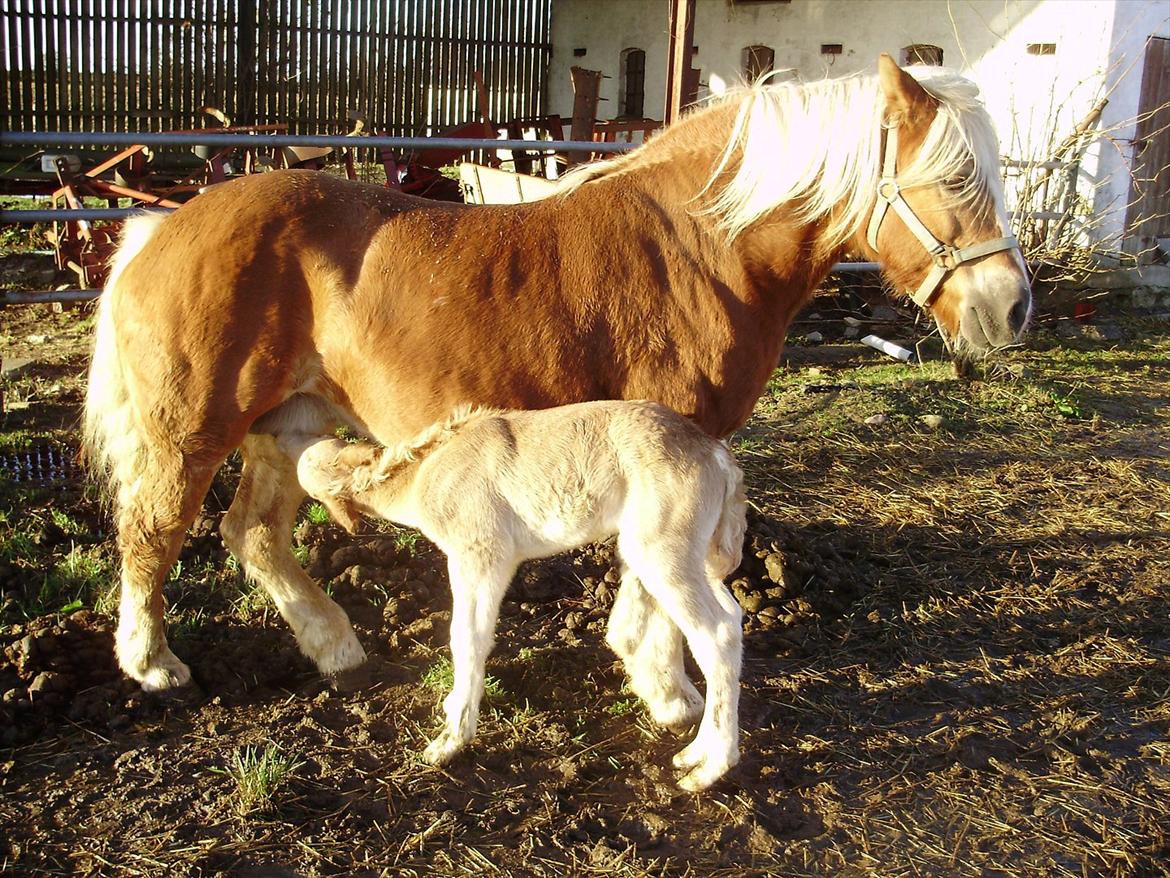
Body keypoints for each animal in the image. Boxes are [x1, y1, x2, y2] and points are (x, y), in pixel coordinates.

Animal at [84, 58, 1034, 697]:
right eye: (954, 177)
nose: (1012, 308)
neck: (702, 244)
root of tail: (159, 232)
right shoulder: (671, 435)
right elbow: (655, 579)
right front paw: (663, 685)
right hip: (195, 430)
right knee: (154, 531)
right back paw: (153, 663)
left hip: (288, 424)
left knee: (251, 534)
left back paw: (336, 646)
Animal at [279, 402, 744, 796]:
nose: (278, 432)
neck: (424, 476)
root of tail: (716, 455)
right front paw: (452, 710)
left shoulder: (481, 552)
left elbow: (467, 639)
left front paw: (450, 740)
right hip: (694, 552)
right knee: (732, 616)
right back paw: (693, 751)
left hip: (661, 548)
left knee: (715, 633)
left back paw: (707, 768)